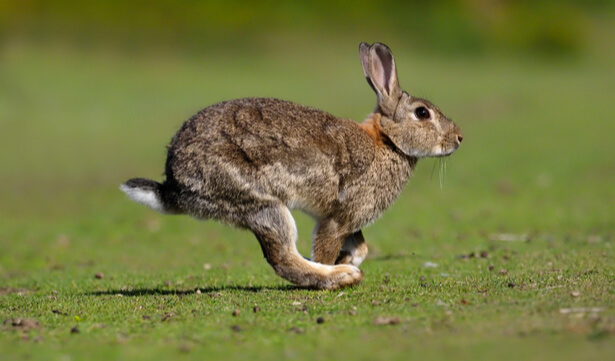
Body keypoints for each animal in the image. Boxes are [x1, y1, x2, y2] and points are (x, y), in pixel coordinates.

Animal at [121, 42, 462, 290]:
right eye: (422, 113)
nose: (458, 138)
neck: (387, 142)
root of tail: (174, 183)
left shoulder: (346, 218)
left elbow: (362, 246)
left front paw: (348, 257)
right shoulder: (339, 217)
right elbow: (324, 246)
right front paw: (337, 264)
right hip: (260, 202)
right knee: (282, 257)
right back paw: (340, 277)